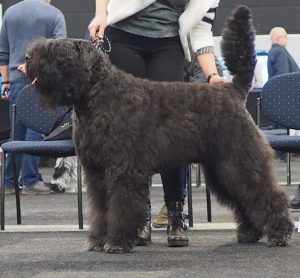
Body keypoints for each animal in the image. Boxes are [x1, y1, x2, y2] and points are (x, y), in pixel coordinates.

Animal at [25, 5, 292, 254]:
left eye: (60, 52)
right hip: (221, 168)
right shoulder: (96, 173)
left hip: (239, 161)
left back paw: (280, 234)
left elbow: (119, 208)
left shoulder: (121, 170)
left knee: (266, 193)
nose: (27, 57)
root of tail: (233, 90)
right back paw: (250, 233)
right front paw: (99, 240)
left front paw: (118, 242)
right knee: (244, 198)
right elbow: (101, 210)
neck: (98, 93)